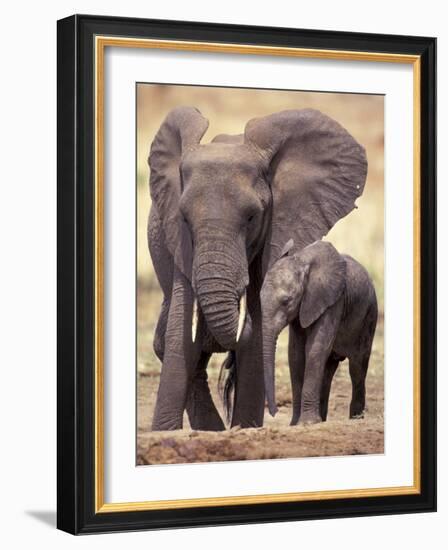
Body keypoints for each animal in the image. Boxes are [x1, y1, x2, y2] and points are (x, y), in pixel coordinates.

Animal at [260, 239, 376, 424]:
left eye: (286, 301)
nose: (274, 412)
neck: (302, 261)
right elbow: (296, 354)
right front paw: (296, 424)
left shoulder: (333, 301)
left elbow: (315, 349)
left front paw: (307, 423)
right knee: (328, 371)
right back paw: (322, 419)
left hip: (369, 317)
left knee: (357, 368)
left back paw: (355, 419)